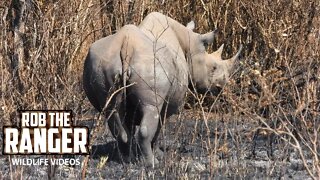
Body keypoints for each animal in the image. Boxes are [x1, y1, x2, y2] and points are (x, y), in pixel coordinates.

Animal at [83, 11, 242, 167]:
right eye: (213, 68)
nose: (220, 88)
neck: (189, 41)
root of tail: (126, 44)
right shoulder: (167, 101)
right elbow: (158, 127)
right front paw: (158, 154)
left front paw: (134, 155)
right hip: (151, 65)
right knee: (150, 110)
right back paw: (152, 163)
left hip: (102, 64)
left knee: (112, 112)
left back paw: (125, 160)